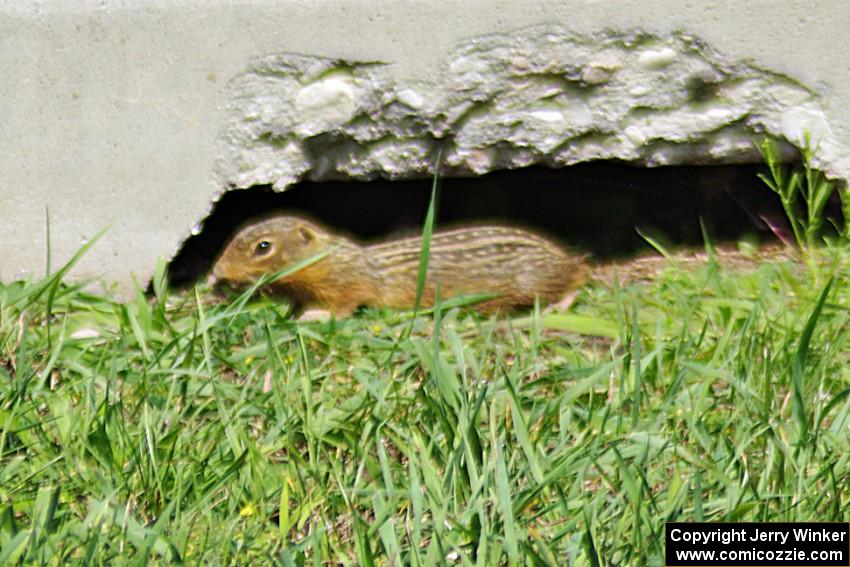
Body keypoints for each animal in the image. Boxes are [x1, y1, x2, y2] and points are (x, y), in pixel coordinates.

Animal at [210, 215, 588, 318]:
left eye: (263, 246)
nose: (217, 272)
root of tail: (562, 256)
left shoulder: (348, 286)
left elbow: (343, 307)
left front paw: (313, 316)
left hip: (532, 280)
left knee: (577, 279)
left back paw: (560, 305)